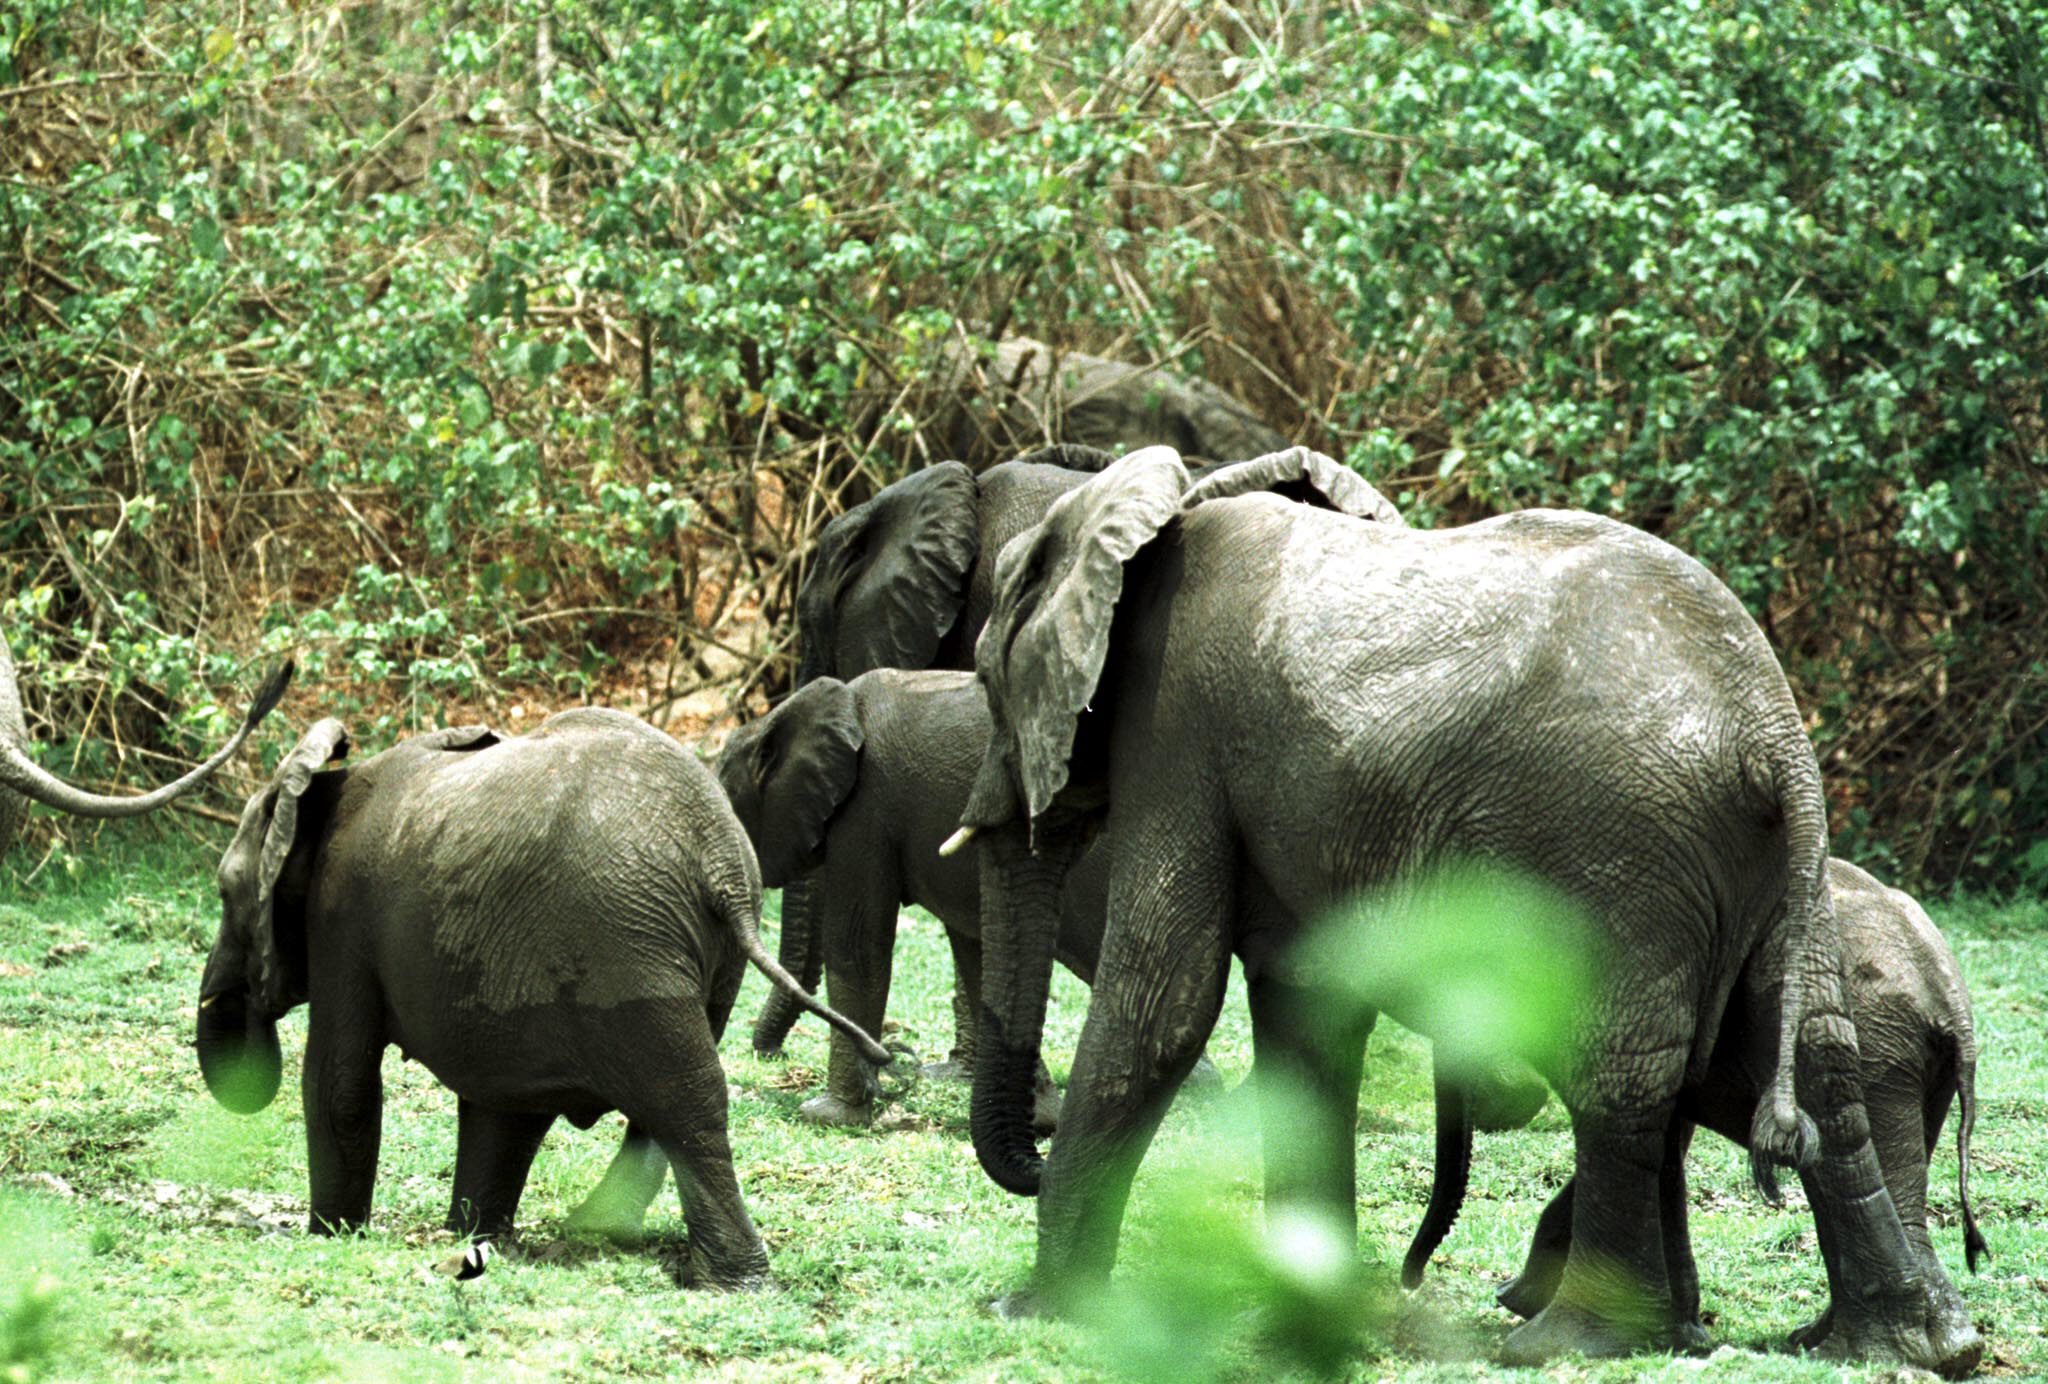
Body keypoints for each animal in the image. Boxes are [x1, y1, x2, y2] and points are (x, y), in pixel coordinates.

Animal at [194, 708, 892, 1289]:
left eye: (225, 893)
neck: (321, 791)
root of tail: (719, 863)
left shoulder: (340, 919)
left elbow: (339, 1085)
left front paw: (334, 1236)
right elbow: (503, 1109)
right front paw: (471, 1240)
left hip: (623, 940)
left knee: (683, 1102)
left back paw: (726, 1283)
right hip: (694, 960)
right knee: (668, 1101)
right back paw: (603, 1234)